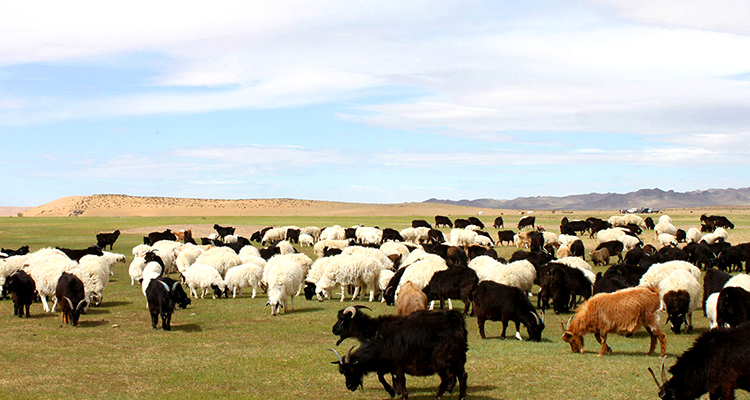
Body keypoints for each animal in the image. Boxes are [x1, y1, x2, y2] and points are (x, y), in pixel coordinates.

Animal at [330, 310, 468, 400]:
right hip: (458, 359)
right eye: (343, 372)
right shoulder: (387, 365)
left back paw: (438, 396)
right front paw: (392, 392)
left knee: (447, 377)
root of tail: (457, 320)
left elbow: (400, 380)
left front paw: (401, 395)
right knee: (462, 375)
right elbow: (382, 376)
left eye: (352, 370)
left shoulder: (398, 365)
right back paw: (461, 397)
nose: (349, 386)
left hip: (441, 361)